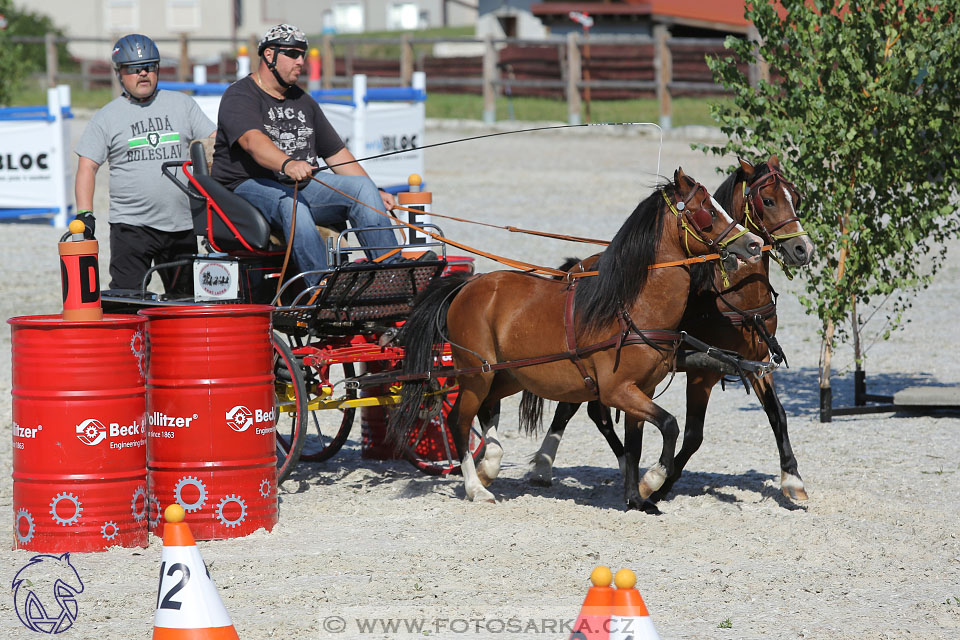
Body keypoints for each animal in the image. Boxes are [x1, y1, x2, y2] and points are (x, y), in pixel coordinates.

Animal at [390, 169, 764, 510]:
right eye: (707, 210)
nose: (755, 244)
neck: (632, 308)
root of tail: (468, 284)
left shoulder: (640, 390)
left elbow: (635, 444)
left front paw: (636, 498)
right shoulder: (617, 390)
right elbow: (669, 425)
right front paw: (653, 480)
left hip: (509, 375)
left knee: (487, 409)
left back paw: (490, 466)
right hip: (476, 374)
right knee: (459, 421)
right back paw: (476, 487)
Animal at [528, 156, 812, 504]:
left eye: (796, 198)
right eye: (768, 200)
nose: (803, 248)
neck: (734, 299)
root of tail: (582, 264)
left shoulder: (756, 364)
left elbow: (778, 415)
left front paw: (793, 478)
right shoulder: (702, 373)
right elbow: (693, 435)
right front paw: (656, 482)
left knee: (594, 411)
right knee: (571, 407)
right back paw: (544, 467)